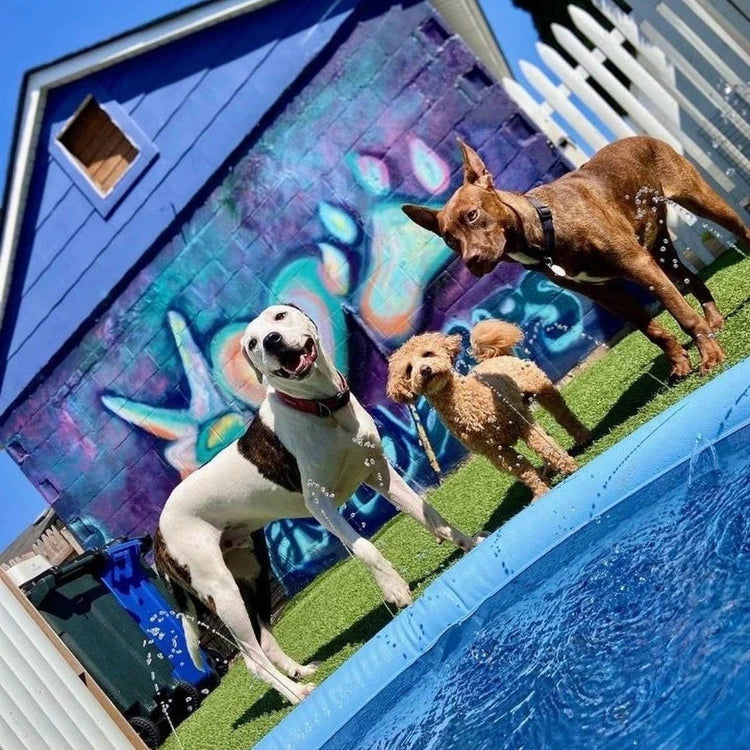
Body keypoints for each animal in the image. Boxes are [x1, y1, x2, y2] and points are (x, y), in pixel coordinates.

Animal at [155, 302, 478, 704]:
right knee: (252, 660)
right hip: (220, 587)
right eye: (252, 343)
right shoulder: (321, 505)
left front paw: (470, 543)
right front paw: (395, 590)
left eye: (278, 317)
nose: (272, 341)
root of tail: (156, 536)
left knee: (264, 639)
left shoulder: (380, 472)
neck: (320, 406)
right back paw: (296, 694)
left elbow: (428, 513)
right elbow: (365, 548)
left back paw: (300, 672)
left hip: (253, 570)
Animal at [406, 136, 750, 378]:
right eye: (449, 239)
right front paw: (679, 363)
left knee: (741, 231)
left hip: (701, 201)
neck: (543, 228)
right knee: (690, 278)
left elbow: (682, 314)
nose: (473, 261)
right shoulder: (604, 294)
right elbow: (652, 328)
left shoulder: (638, 265)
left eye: (473, 215)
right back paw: (714, 320)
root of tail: (637, 138)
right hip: (660, 249)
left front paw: (709, 357)